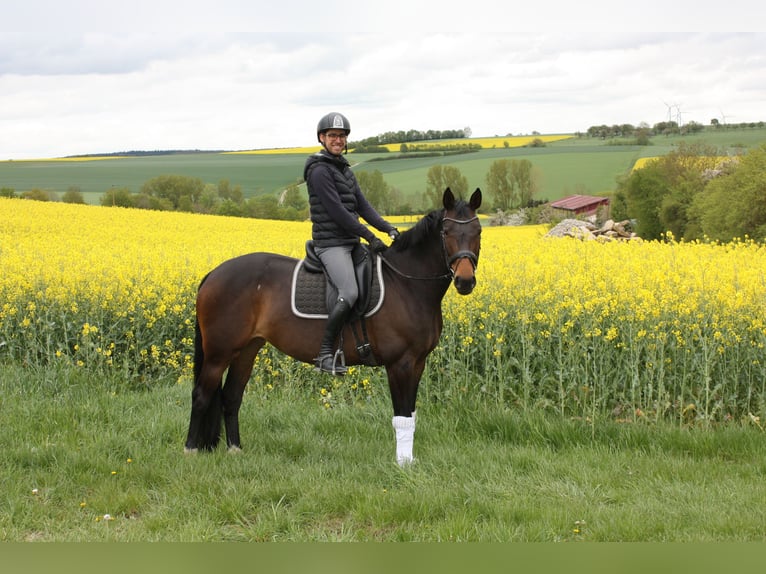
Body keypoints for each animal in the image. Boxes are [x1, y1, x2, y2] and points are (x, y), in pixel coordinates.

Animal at [184, 187, 482, 465]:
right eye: (446, 231)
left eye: (478, 231)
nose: (465, 281)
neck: (405, 283)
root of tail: (214, 274)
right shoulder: (400, 364)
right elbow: (401, 415)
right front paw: (402, 464)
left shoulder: (417, 362)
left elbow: (411, 413)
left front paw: (408, 461)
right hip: (219, 353)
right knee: (201, 395)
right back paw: (190, 450)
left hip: (247, 350)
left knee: (231, 396)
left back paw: (235, 449)